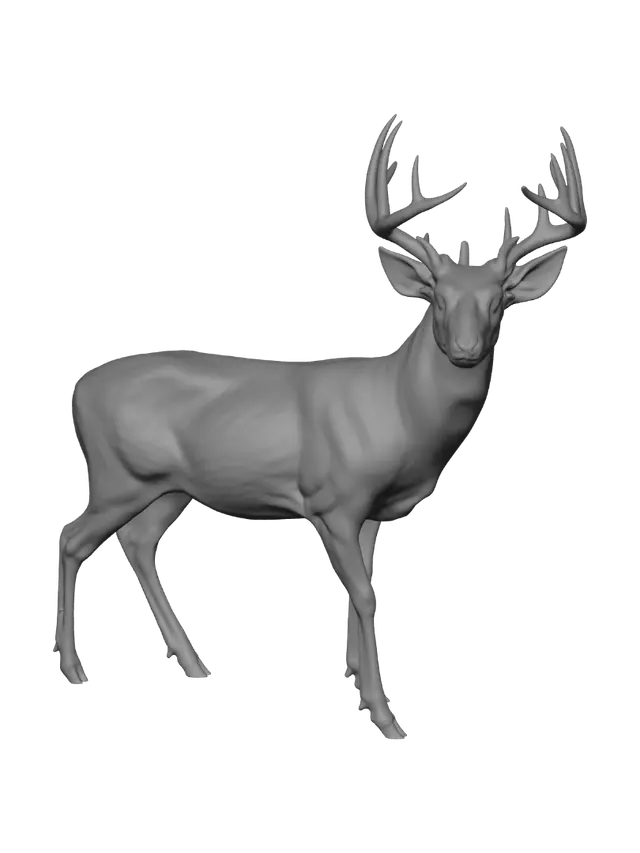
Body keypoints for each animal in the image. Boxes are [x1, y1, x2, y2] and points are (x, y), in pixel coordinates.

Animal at [54, 113, 586, 743]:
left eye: (499, 303)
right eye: (436, 299)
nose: (463, 350)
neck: (398, 410)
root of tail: (77, 389)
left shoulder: (371, 511)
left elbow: (365, 590)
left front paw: (354, 679)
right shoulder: (332, 500)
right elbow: (364, 593)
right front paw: (386, 717)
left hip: (170, 486)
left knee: (136, 539)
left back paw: (195, 664)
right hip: (117, 476)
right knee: (72, 538)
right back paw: (75, 670)